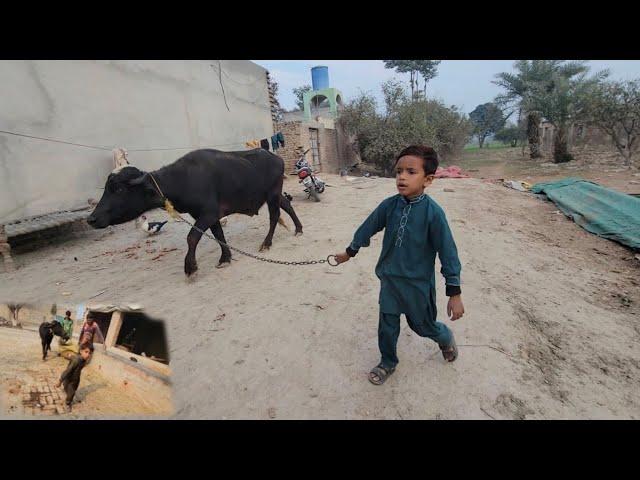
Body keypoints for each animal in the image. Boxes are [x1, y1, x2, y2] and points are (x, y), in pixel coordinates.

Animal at [88, 147, 304, 278]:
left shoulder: (208, 214)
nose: (92, 219)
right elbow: (218, 236)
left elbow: (192, 237)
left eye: (118, 189)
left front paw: (190, 267)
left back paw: (266, 243)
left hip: (272, 194)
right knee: (287, 205)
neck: (184, 179)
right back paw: (298, 229)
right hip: (275, 194)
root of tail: (276, 157)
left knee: (275, 215)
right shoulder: (209, 216)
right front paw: (225, 258)